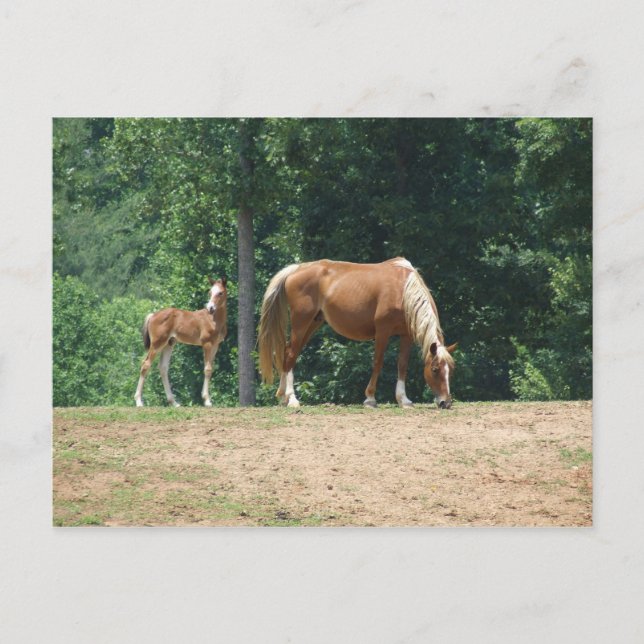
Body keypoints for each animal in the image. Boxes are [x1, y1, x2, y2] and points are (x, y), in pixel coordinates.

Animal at [134, 277, 228, 407]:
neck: (213, 320)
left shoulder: (215, 345)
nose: (210, 308)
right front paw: (207, 400)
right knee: (145, 364)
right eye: (210, 292)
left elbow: (210, 369)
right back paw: (138, 401)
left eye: (220, 293)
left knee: (163, 367)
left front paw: (207, 399)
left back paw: (174, 402)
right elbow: (207, 369)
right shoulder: (207, 344)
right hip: (157, 343)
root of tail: (153, 315)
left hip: (169, 344)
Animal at [258, 258, 456, 409]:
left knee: (288, 353)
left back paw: (282, 396)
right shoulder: (383, 331)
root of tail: (297, 268)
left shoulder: (405, 335)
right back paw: (291, 399)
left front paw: (403, 399)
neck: (402, 289)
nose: (445, 402)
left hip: (312, 323)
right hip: (301, 322)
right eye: (435, 369)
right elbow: (378, 362)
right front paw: (370, 398)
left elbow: (402, 365)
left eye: (450, 370)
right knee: (291, 354)